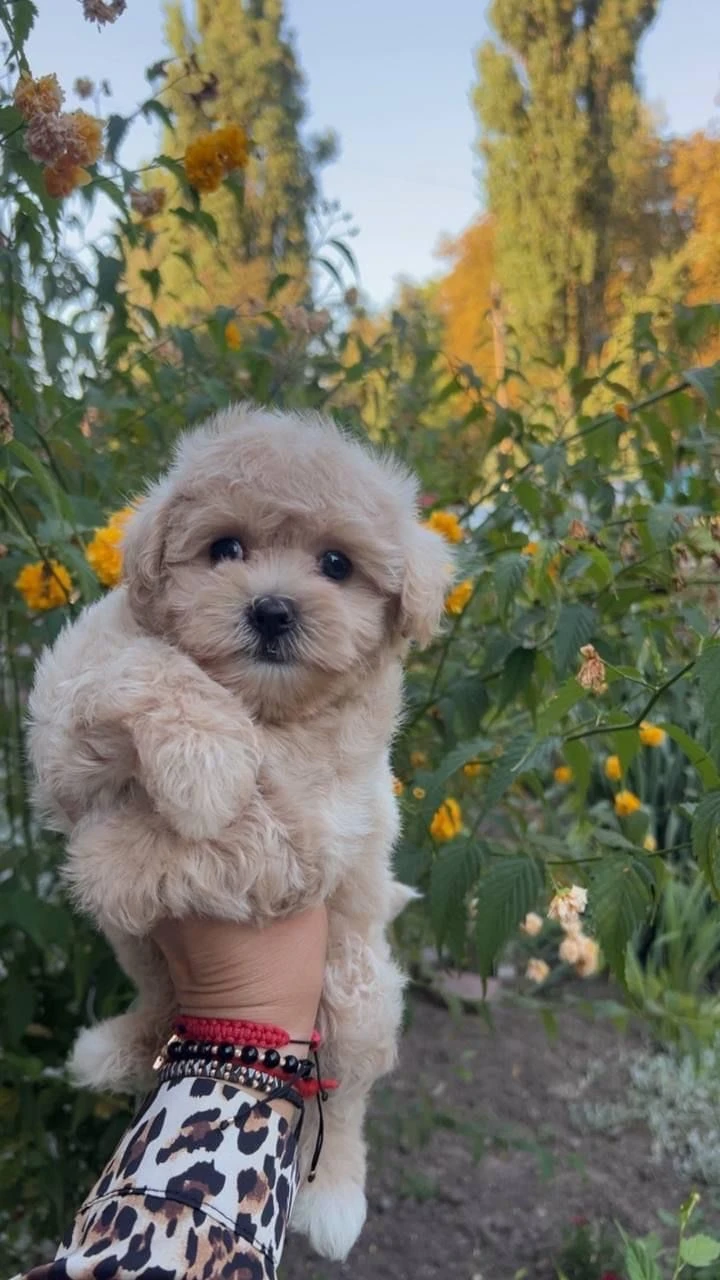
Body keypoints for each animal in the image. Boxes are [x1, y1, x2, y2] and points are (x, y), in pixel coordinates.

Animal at [30, 407, 450, 1259]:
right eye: (225, 549)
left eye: (336, 564)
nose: (273, 610)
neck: (261, 704)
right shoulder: (65, 717)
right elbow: (137, 672)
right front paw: (204, 758)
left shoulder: (314, 828)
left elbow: (237, 831)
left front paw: (122, 846)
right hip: (142, 955)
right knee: (163, 1004)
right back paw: (114, 1049)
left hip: (356, 989)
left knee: (344, 1094)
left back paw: (335, 1196)